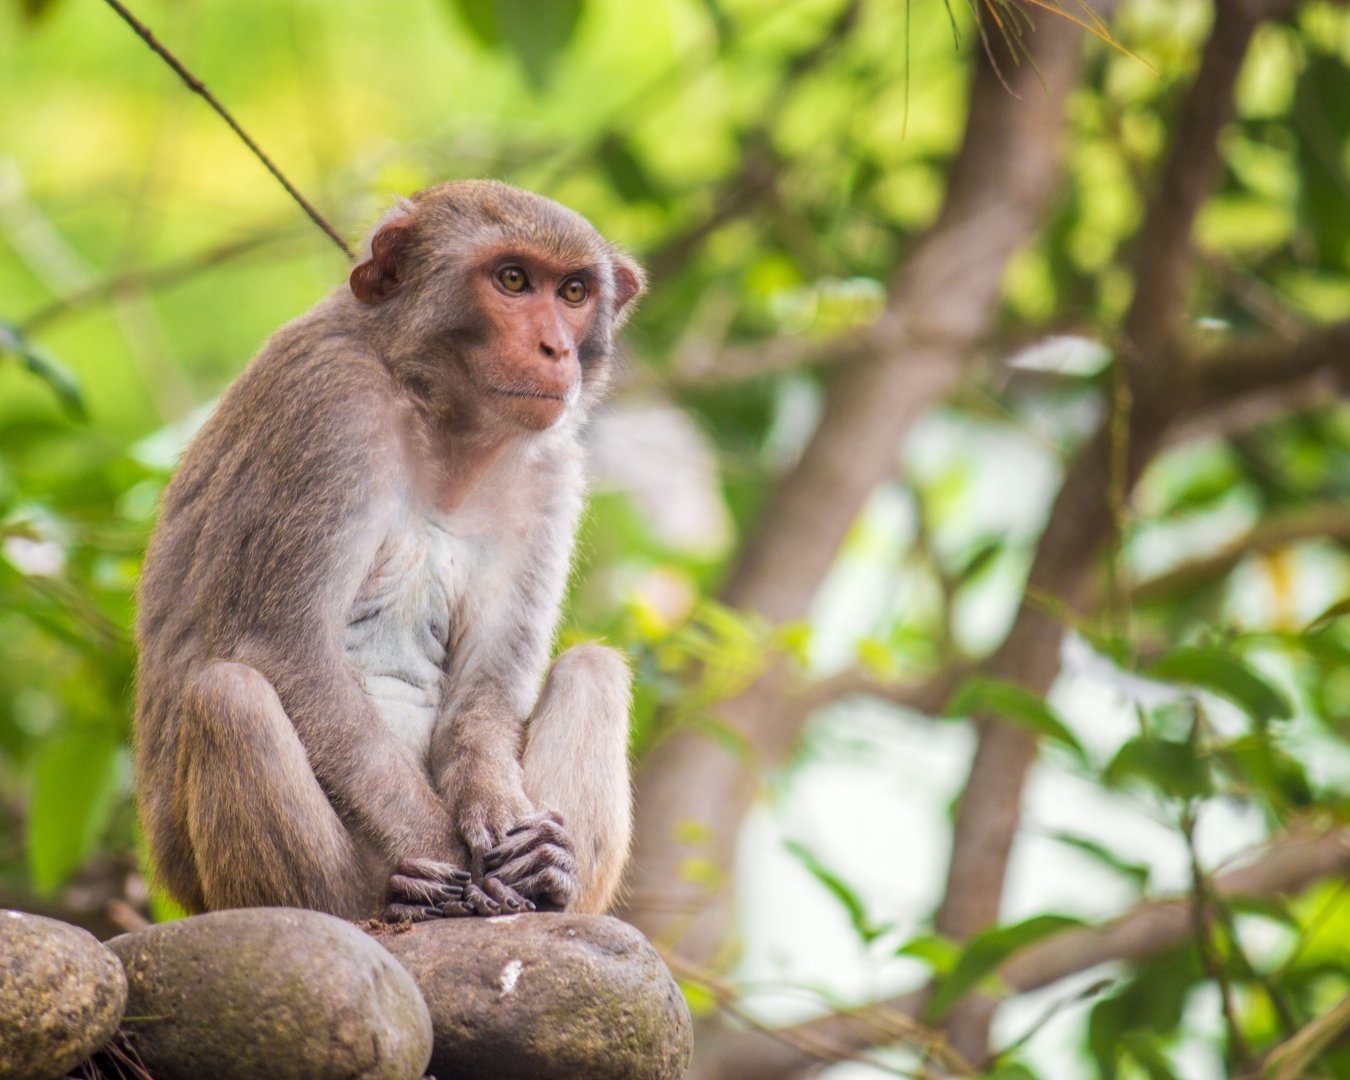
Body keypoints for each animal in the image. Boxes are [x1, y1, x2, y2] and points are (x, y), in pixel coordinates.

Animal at [134, 180, 644, 922]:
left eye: (574, 292)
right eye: (513, 280)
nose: (556, 349)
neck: (441, 418)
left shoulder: (549, 472)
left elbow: (487, 687)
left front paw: (512, 833)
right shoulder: (330, 407)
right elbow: (287, 651)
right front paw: (444, 854)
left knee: (594, 669)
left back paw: (554, 882)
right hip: (208, 883)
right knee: (229, 694)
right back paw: (385, 902)